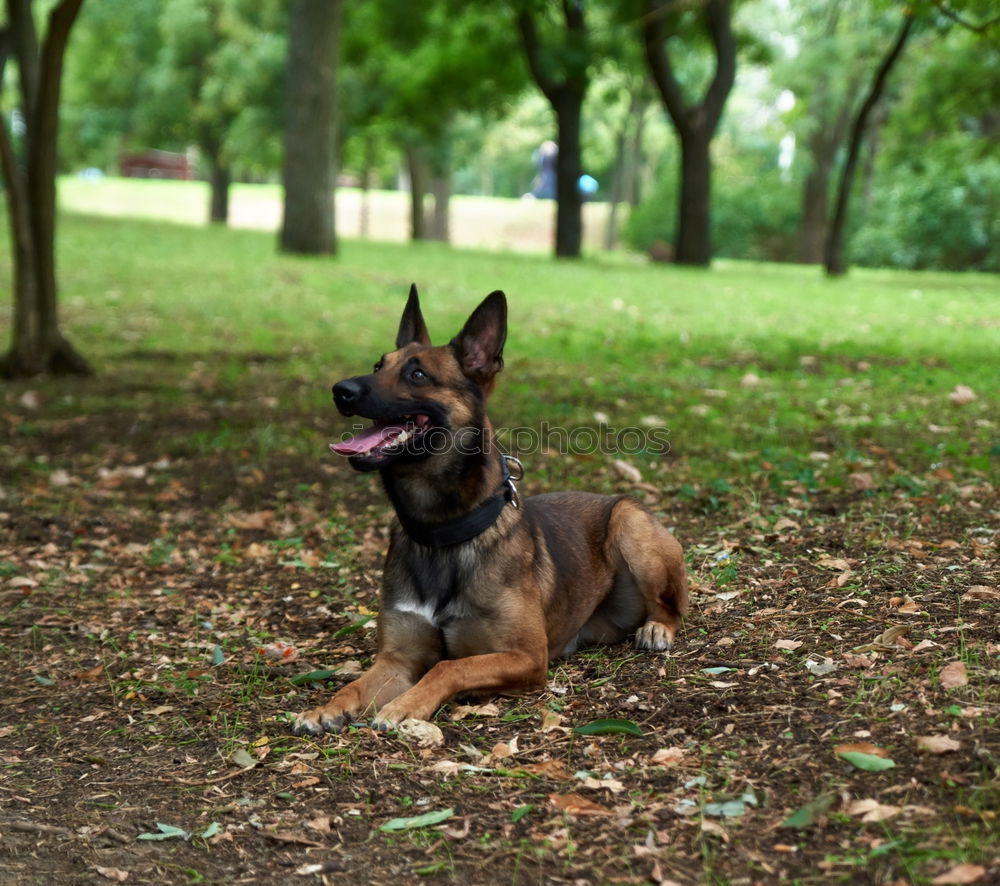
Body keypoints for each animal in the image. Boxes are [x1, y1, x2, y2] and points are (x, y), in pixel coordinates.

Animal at [292, 286, 692, 736]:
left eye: (417, 375)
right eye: (379, 365)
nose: (340, 390)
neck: (442, 534)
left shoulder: (526, 658)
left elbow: (449, 668)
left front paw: (405, 706)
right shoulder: (397, 661)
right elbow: (358, 684)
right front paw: (325, 707)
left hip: (628, 520)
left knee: (671, 607)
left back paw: (657, 628)